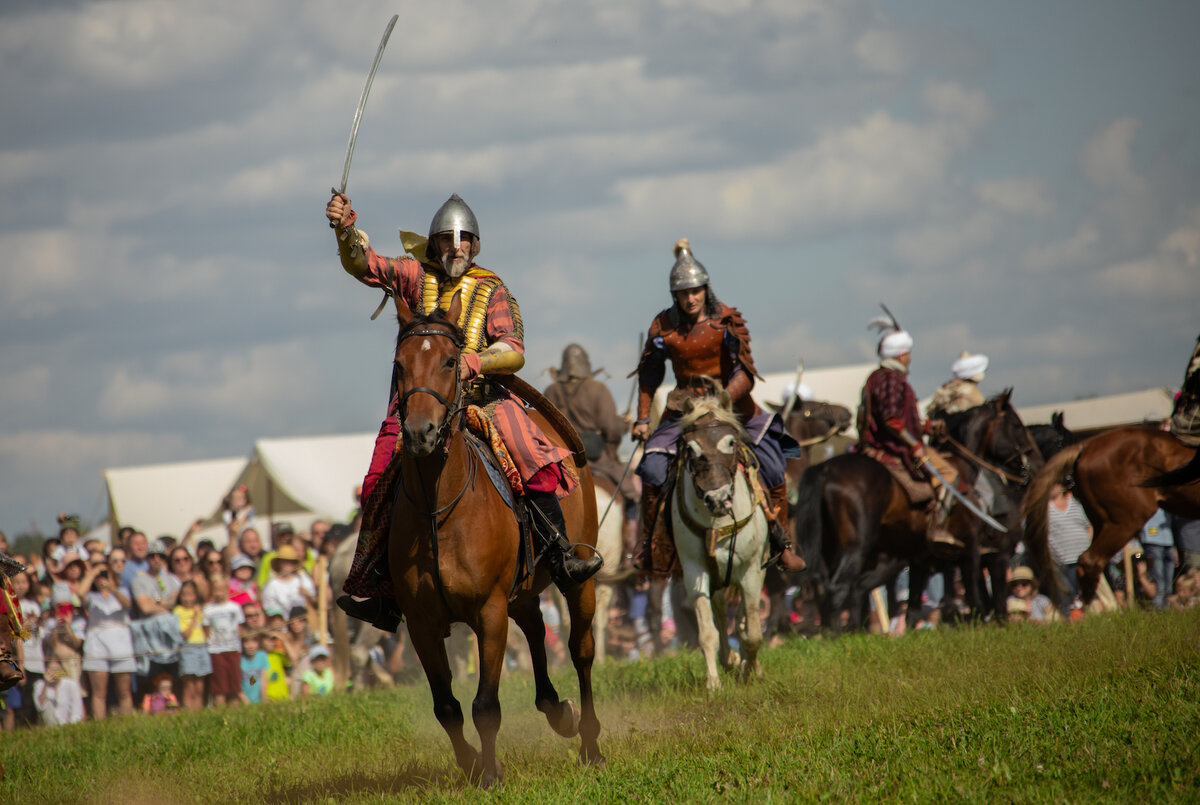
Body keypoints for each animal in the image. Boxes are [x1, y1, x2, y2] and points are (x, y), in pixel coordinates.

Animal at [388, 291, 604, 787]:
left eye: (450, 361)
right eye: (399, 365)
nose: (420, 433)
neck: (439, 511)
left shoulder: (488, 611)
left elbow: (485, 705)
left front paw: (489, 774)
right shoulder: (422, 624)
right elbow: (446, 707)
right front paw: (472, 765)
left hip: (578, 582)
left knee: (580, 652)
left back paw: (590, 743)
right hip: (520, 592)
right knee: (537, 628)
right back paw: (556, 710)